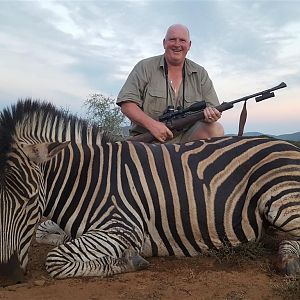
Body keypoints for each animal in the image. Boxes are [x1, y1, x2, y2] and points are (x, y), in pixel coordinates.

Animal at [0, 100, 300, 286]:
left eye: (30, 201)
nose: (7, 275)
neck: (87, 178)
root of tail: (287, 145)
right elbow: (45, 234)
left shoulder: (124, 228)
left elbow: (55, 259)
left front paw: (128, 260)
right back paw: (287, 258)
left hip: (280, 197)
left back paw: (289, 260)